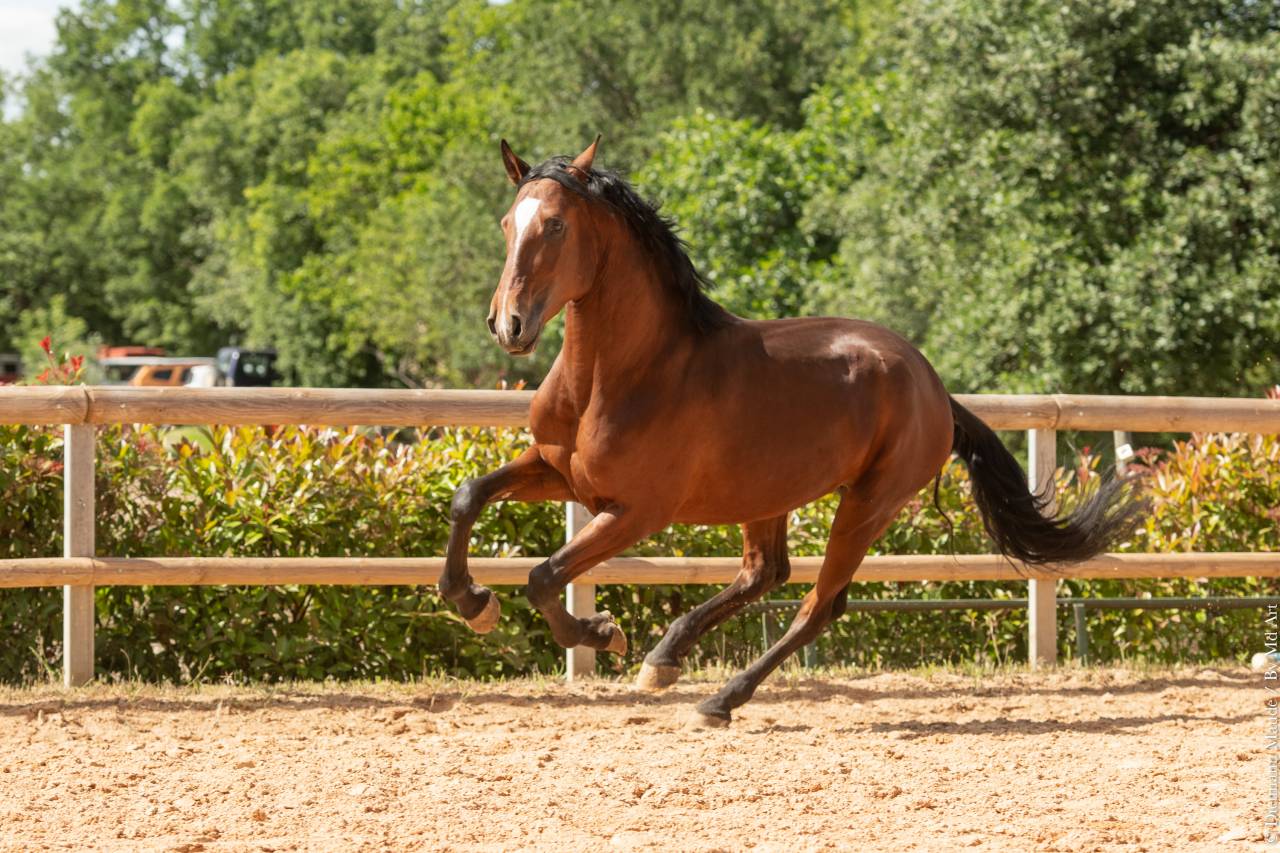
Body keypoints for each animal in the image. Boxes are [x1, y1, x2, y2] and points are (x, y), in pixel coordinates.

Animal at [439, 136, 1140, 726]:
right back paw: (666, 660)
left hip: (868, 502)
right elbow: (470, 496)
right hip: (766, 495)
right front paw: (473, 602)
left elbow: (545, 576)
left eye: (556, 224)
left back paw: (717, 699)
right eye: (508, 224)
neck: (620, 376)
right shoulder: (562, 472)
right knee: (764, 574)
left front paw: (601, 633)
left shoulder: (637, 511)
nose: (508, 324)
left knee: (817, 604)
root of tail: (933, 384)